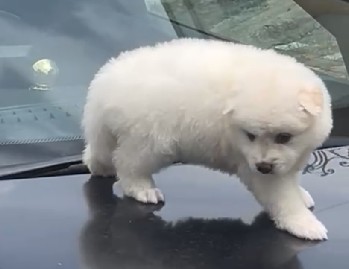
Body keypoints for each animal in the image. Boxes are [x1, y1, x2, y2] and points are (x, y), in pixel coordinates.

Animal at [81, 37, 332, 239]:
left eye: (284, 137)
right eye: (250, 135)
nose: (263, 166)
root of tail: (104, 83)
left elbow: (290, 179)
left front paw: (301, 195)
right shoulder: (252, 166)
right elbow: (281, 195)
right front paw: (304, 224)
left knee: (102, 152)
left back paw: (99, 166)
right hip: (151, 138)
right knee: (128, 164)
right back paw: (143, 189)